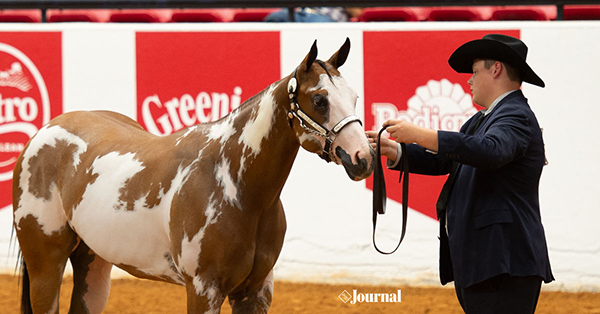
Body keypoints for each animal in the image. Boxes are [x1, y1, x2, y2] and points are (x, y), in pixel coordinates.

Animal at [11, 38, 372, 312]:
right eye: (319, 100)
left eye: (354, 97)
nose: (363, 158)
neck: (238, 187)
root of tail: (43, 132)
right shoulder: (202, 289)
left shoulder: (255, 292)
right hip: (46, 263)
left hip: (94, 261)